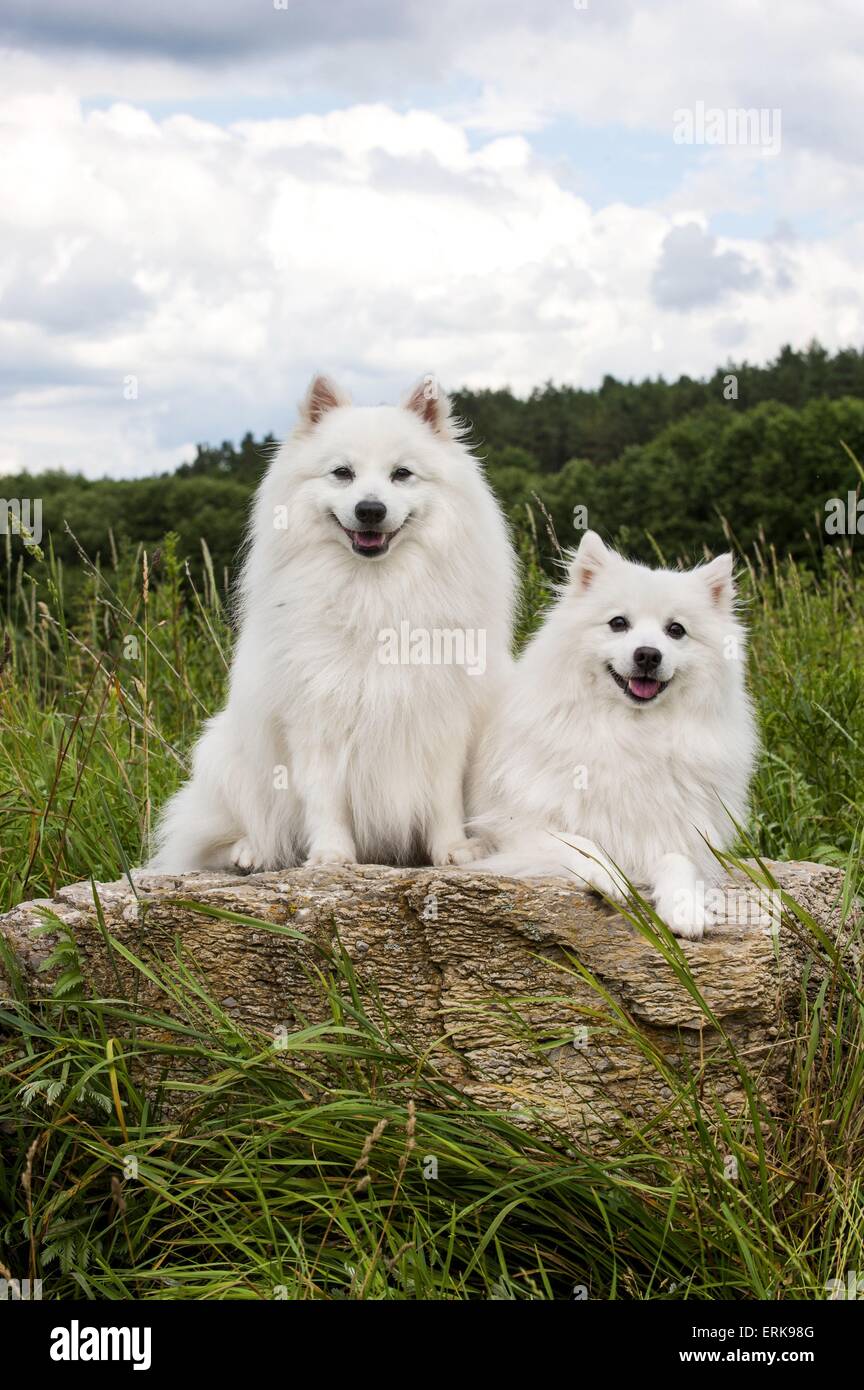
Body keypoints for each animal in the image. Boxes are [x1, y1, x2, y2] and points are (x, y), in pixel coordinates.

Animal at [150, 375, 513, 872]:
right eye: (342, 473)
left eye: (402, 474)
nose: (370, 509)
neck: (374, 592)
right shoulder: (315, 718)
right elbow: (325, 798)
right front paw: (330, 856)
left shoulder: (440, 717)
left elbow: (443, 797)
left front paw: (453, 850)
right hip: (226, 758)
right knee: (220, 834)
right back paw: (249, 852)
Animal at [469, 525, 761, 939]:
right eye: (618, 623)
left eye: (676, 630)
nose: (648, 654)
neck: (632, 731)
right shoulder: (514, 829)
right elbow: (583, 844)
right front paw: (612, 875)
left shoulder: (679, 831)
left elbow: (678, 861)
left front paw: (684, 906)